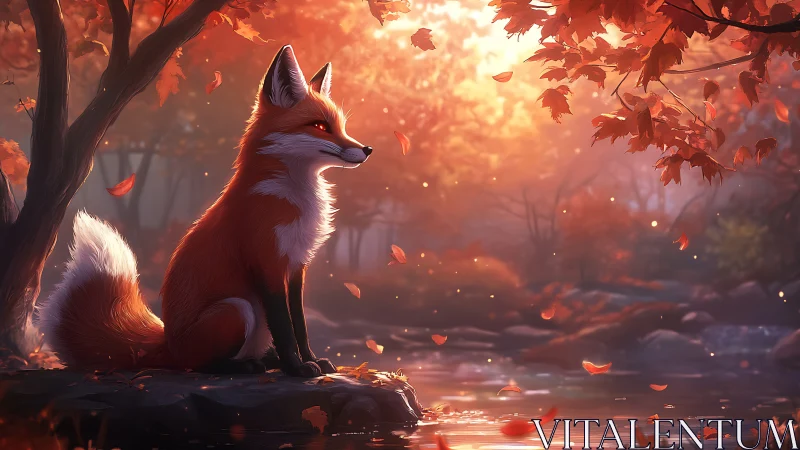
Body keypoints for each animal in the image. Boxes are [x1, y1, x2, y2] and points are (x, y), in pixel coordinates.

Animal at [37, 45, 372, 377]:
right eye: (320, 126)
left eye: (341, 127)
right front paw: (297, 368)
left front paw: (311, 360)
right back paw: (246, 366)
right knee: (200, 365)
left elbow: (300, 324)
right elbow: (284, 326)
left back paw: (265, 361)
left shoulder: (296, 266)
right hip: (237, 309)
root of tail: (168, 342)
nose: (367, 149)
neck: (293, 197)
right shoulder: (267, 262)